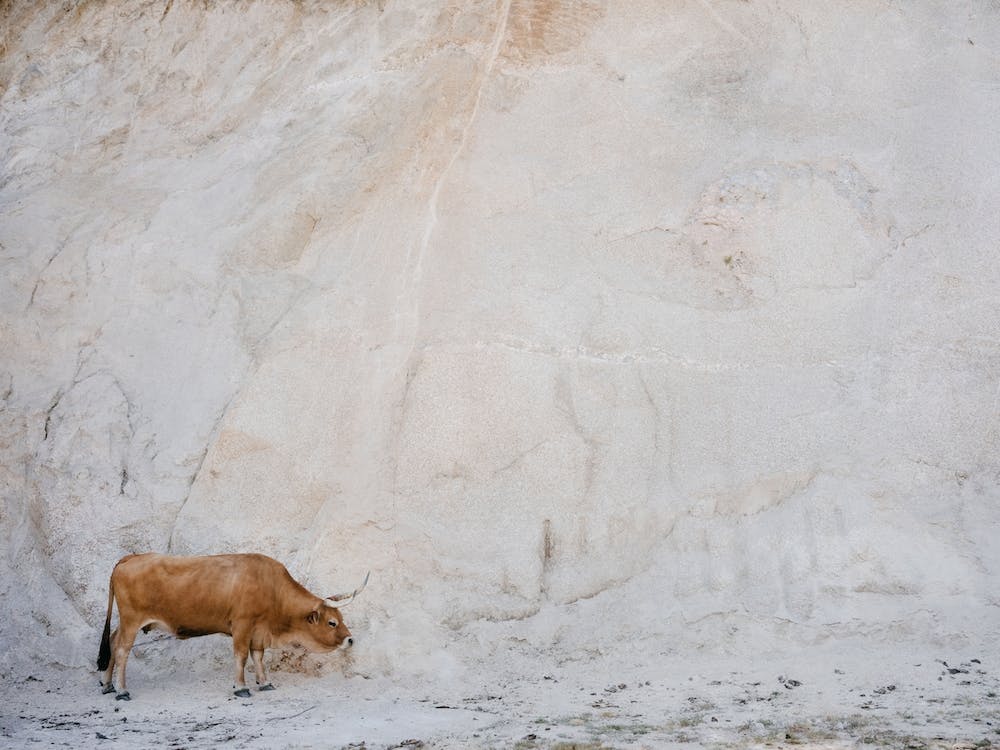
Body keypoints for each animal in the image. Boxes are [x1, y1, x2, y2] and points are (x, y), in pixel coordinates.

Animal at [96, 552, 368, 700]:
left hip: (126, 622)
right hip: (131, 620)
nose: (350, 639)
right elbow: (241, 657)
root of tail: (131, 557)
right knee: (122, 650)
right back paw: (121, 690)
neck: (272, 589)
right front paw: (241, 687)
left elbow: (258, 657)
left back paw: (108, 684)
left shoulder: (258, 631)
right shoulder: (242, 626)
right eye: (332, 622)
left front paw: (264, 683)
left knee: (112, 641)